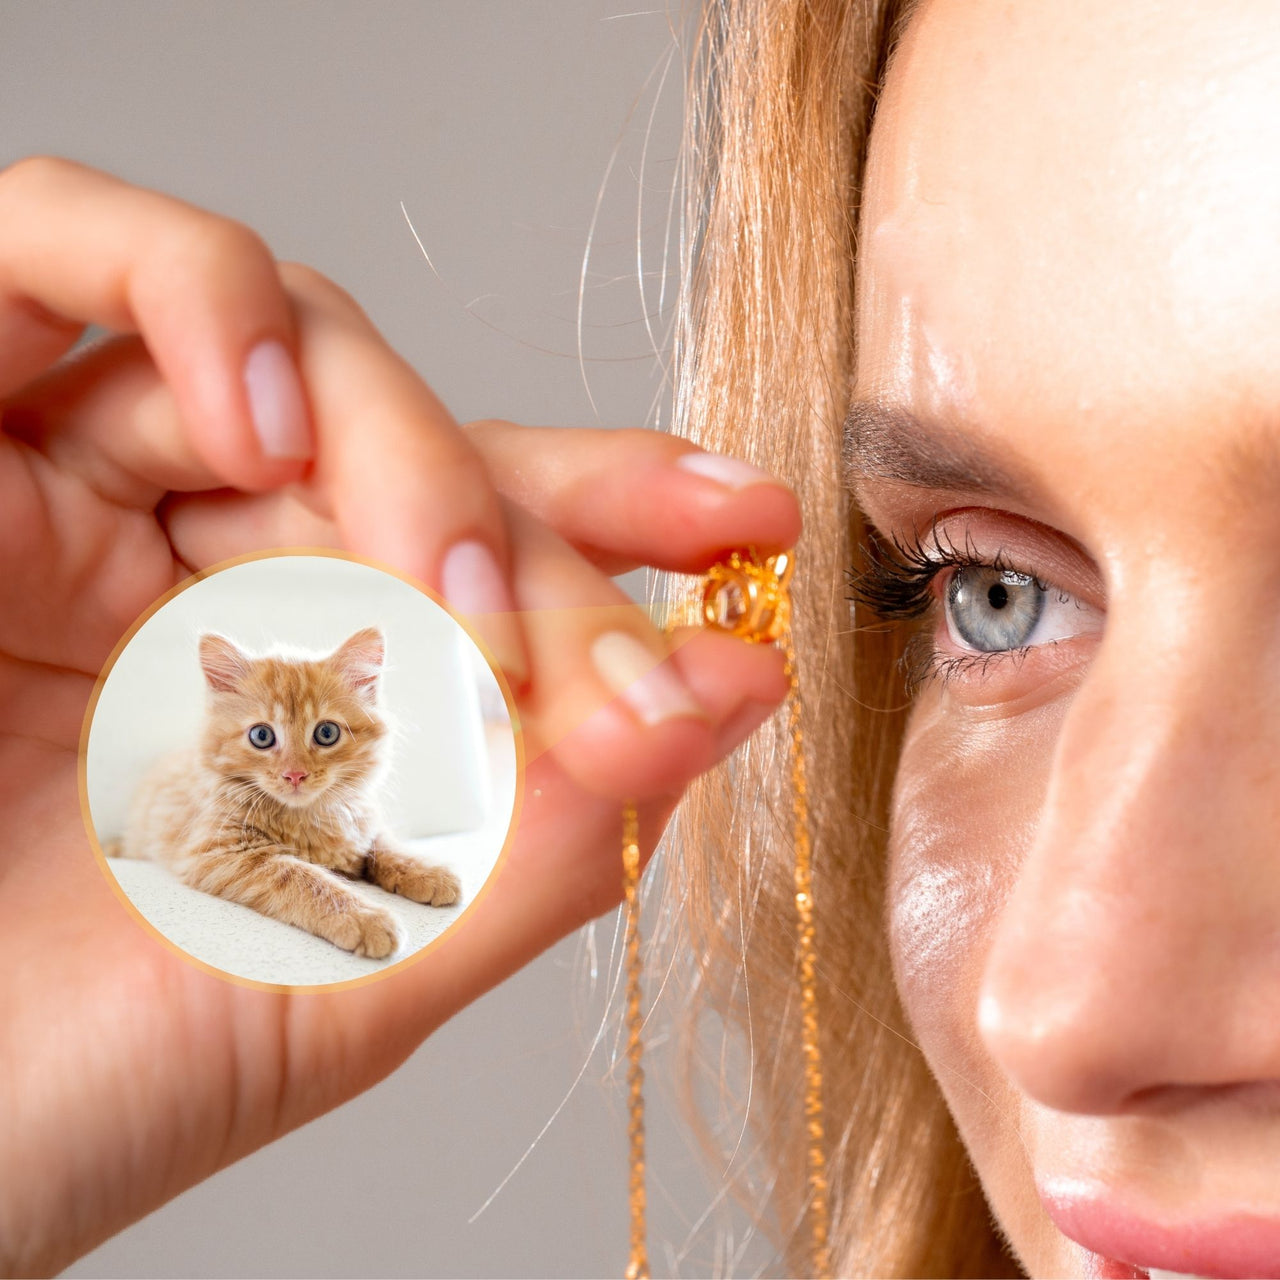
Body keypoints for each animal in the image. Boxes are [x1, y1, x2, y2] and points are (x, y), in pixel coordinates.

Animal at [116, 629, 460, 962]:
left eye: (326, 733)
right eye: (261, 736)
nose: (295, 774)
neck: (305, 817)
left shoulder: (361, 821)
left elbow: (385, 844)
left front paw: (429, 872)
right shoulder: (221, 851)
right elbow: (303, 877)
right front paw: (364, 918)